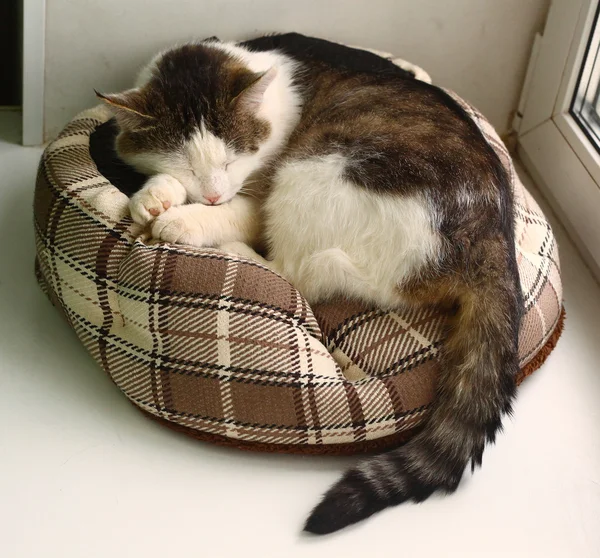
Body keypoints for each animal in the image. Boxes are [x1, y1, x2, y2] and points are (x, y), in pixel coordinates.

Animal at [96, 32, 524, 536]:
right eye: (187, 166)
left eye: (232, 158)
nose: (214, 194)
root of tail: (493, 233)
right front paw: (154, 197)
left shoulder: (260, 192)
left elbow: (238, 215)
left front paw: (183, 220)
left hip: (316, 169)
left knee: (297, 271)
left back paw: (234, 250)